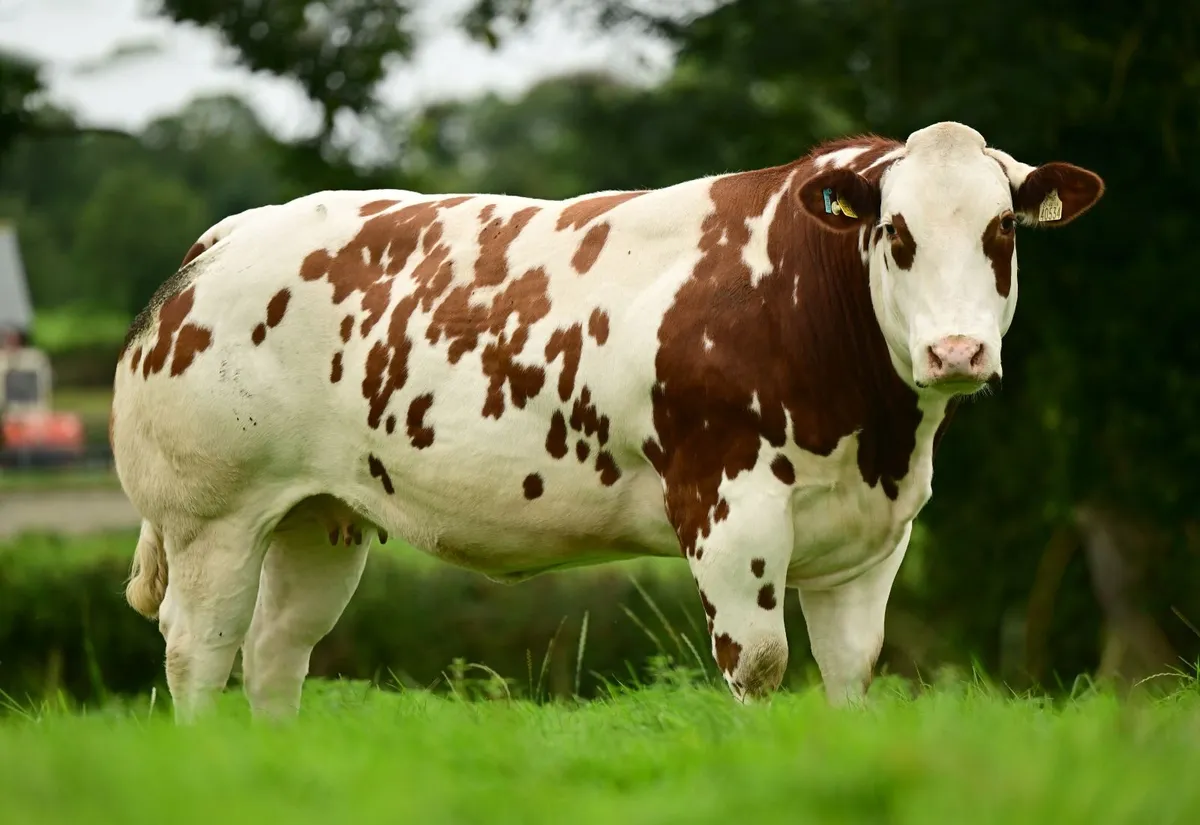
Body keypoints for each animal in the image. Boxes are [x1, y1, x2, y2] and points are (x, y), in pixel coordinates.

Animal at [110, 121, 1104, 722]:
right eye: (896, 232)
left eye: (1001, 231)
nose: (956, 352)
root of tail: (225, 237)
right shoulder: (729, 511)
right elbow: (759, 662)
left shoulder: (873, 536)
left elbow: (852, 672)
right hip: (212, 517)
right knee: (199, 651)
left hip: (318, 517)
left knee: (276, 653)